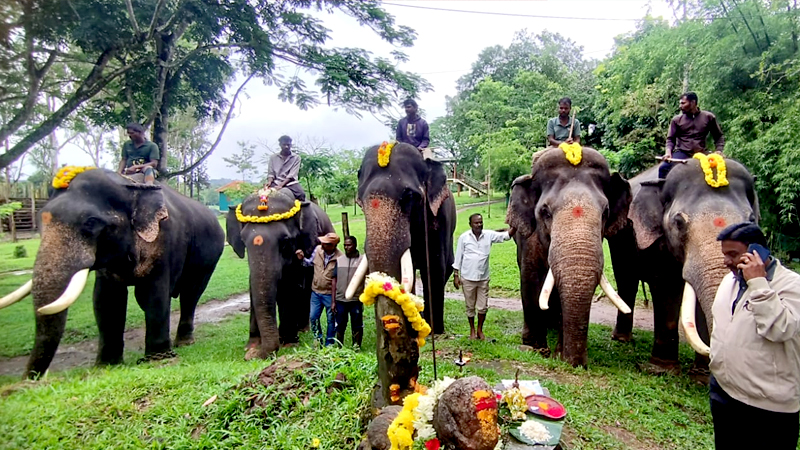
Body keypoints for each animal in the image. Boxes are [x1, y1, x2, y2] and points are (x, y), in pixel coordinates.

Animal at [0, 169, 224, 379]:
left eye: (91, 222)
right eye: (41, 220)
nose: (29, 381)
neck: (129, 186)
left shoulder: (164, 241)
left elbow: (154, 295)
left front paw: (157, 358)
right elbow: (106, 300)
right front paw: (106, 365)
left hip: (208, 259)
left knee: (190, 294)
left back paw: (184, 342)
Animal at [226, 188, 333, 359]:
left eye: (286, 241)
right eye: (243, 240)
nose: (251, 356)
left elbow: (289, 287)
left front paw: (288, 343)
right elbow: (253, 288)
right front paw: (251, 346)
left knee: (306, 291)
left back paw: (302, 330)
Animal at [349, 142, 456, 336]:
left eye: (410, 197)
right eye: (359, 202)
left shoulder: (440, 217)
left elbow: (434, 268)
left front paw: (434, 330)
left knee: (447, 268)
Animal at [506, 146, 633, 367]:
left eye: (605, 212)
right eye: (545, 212)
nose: (577, 363)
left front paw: (559, 354)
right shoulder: (530, 241)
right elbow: (531, 281)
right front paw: (537, 348)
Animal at [619, 157, 758, 375]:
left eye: (751, 220)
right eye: (679, 223)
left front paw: (701, 375)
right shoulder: (659, 243)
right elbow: (667, 288)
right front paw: (662, 368)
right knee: (626, 279)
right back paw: (622, 340)